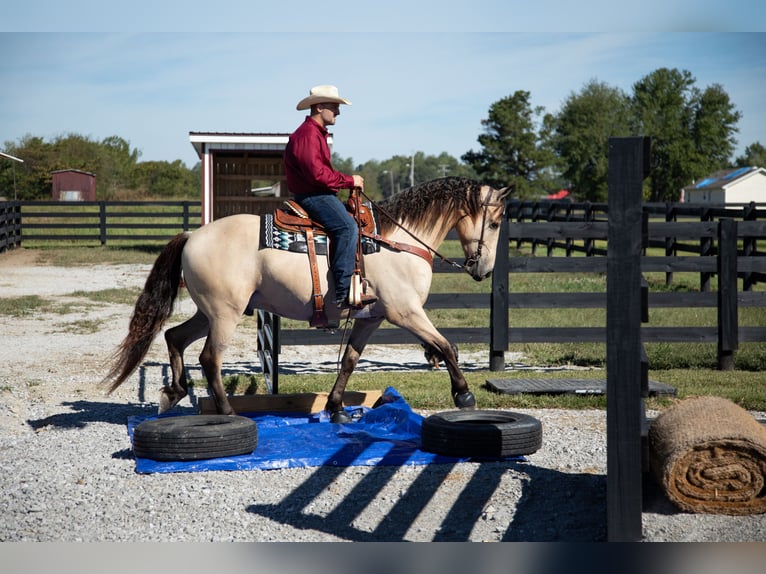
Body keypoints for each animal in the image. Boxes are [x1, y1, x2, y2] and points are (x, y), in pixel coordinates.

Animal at [102, 176, 509, 422]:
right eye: (493, 223)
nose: (484, 269)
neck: (397, 241)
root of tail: (192, 235)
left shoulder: (372, 318)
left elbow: (349, 361)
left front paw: (336, 408)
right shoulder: (406, 313)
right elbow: (447, 346)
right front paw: (464, 396)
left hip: (209, 312)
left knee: (175, 337)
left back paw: (174, 392)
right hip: (224, 314)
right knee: (209, 359)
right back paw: (229, 412)